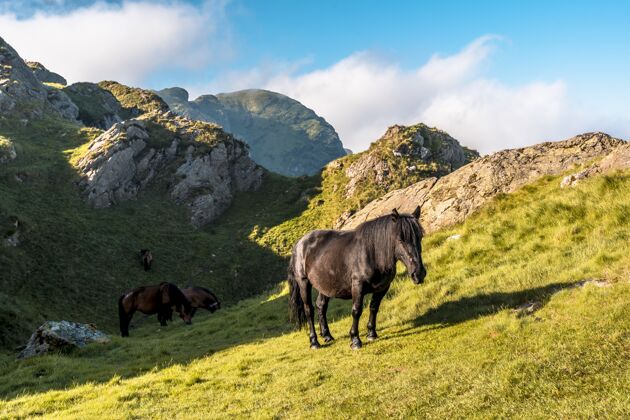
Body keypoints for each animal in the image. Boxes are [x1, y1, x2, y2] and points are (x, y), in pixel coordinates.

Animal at [288, 206, 428, 348]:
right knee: (309, 310)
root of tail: (299, 243)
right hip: (304, 283)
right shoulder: (358, 286)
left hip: (325, 285)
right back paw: (314, 342)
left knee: (321, 306)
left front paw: (371, 334)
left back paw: (327, 336)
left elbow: (374, 307)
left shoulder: (382, 287)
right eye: (400, 239)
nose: (419, 273)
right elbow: (356, 310)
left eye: (420, 237)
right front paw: (355, 340)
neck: (372, 253)